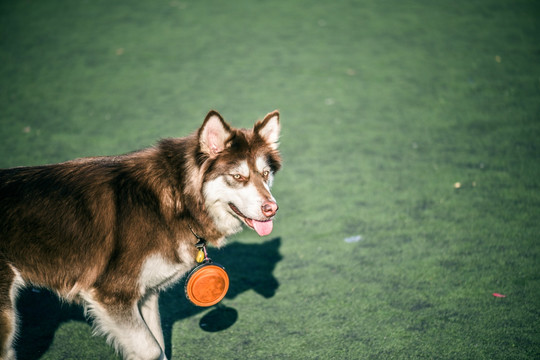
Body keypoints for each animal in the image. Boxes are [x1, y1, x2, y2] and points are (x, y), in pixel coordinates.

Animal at [1, 110, 282, 360]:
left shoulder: (146, 295)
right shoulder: (112, 294)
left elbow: (159, 345)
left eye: (265, 174)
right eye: (238, 176)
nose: (272, 208)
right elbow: (151, 350)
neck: (177, 199)